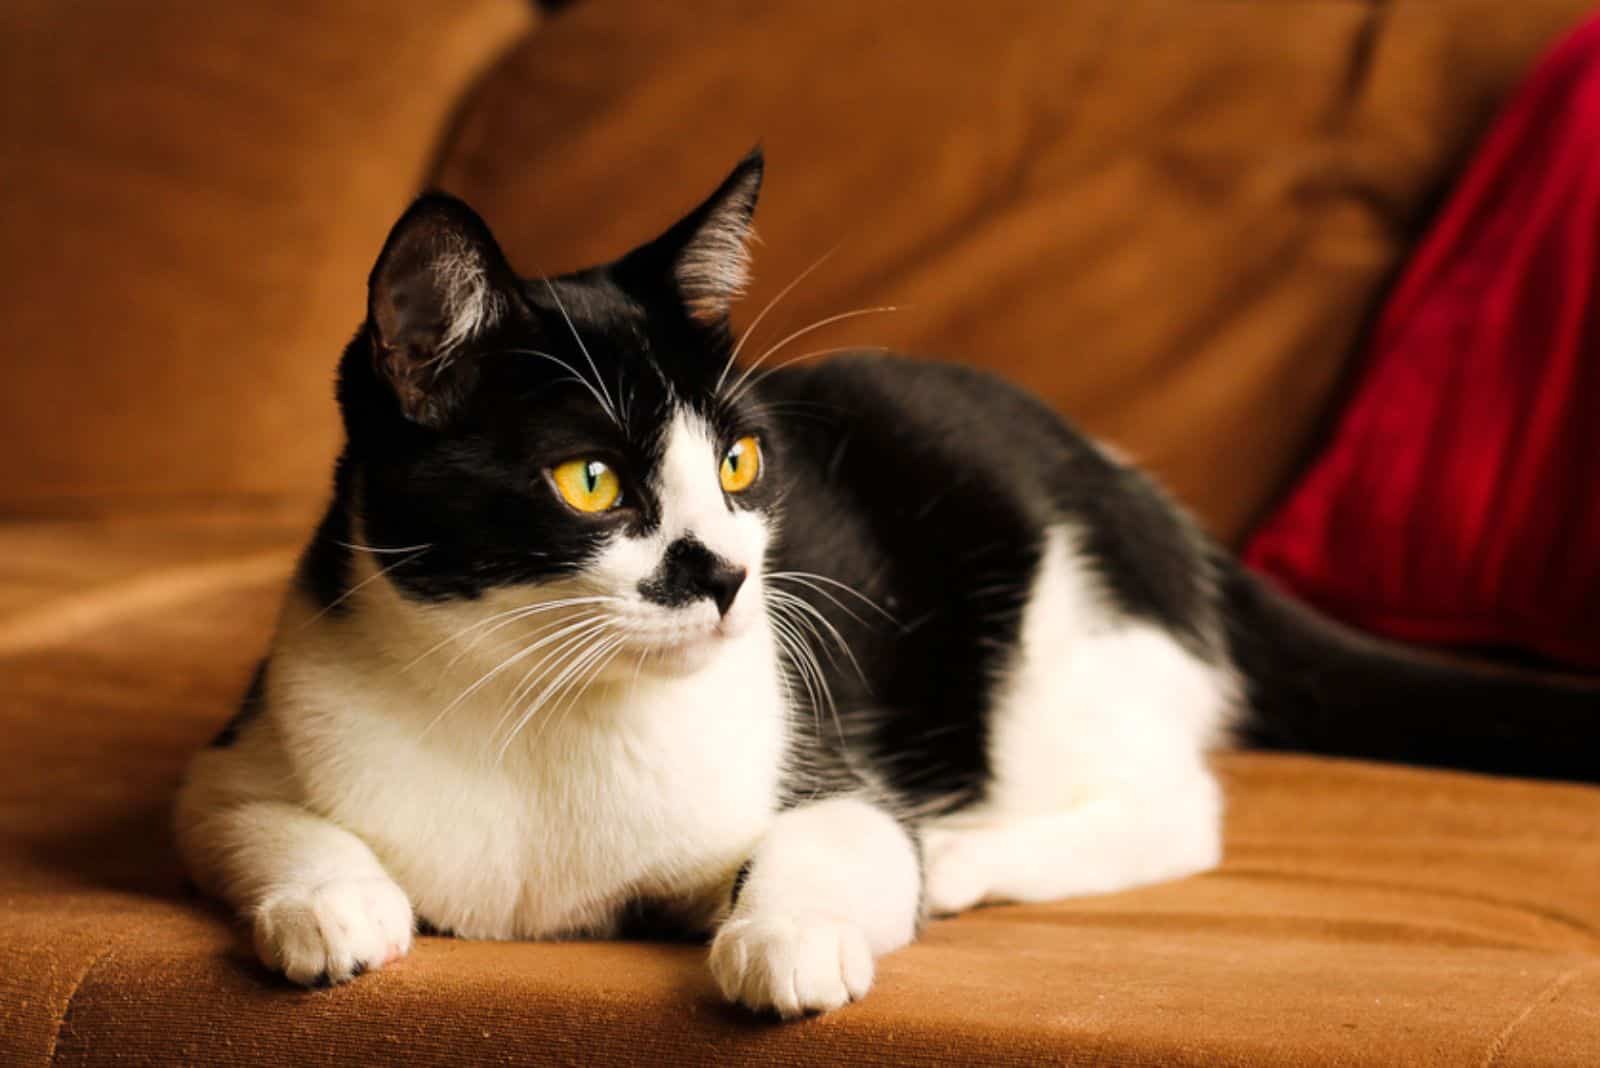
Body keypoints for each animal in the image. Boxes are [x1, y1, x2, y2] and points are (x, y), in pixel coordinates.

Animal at [175, 150, 1600, 1016]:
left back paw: (967, 858)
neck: (542, 714)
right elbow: (247, 817)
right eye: (589, 481)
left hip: (1054, 631)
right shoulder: (245, 741)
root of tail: (1140, 493)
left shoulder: (830, 768)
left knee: (1180, 809)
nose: (729, 576)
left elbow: (843, 840)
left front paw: (790, 937)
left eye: (739, 460)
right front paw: (334, 907)